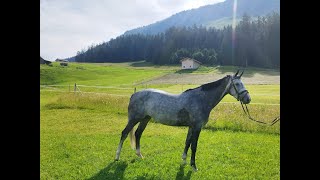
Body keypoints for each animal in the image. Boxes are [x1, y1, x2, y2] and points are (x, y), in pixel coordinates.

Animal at [115, 69, 250, 171]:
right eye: (237, 84)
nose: (248, 99)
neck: (201, 99)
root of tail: (134, 94)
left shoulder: (191, 127)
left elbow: (187, 143)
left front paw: (184, 161)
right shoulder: (197, 127)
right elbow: (194, 146)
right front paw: (194, 166)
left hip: (145, 119)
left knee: (138, 134)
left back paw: (140, 155)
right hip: (134, 119)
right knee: (124, 133)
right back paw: (117, 157)